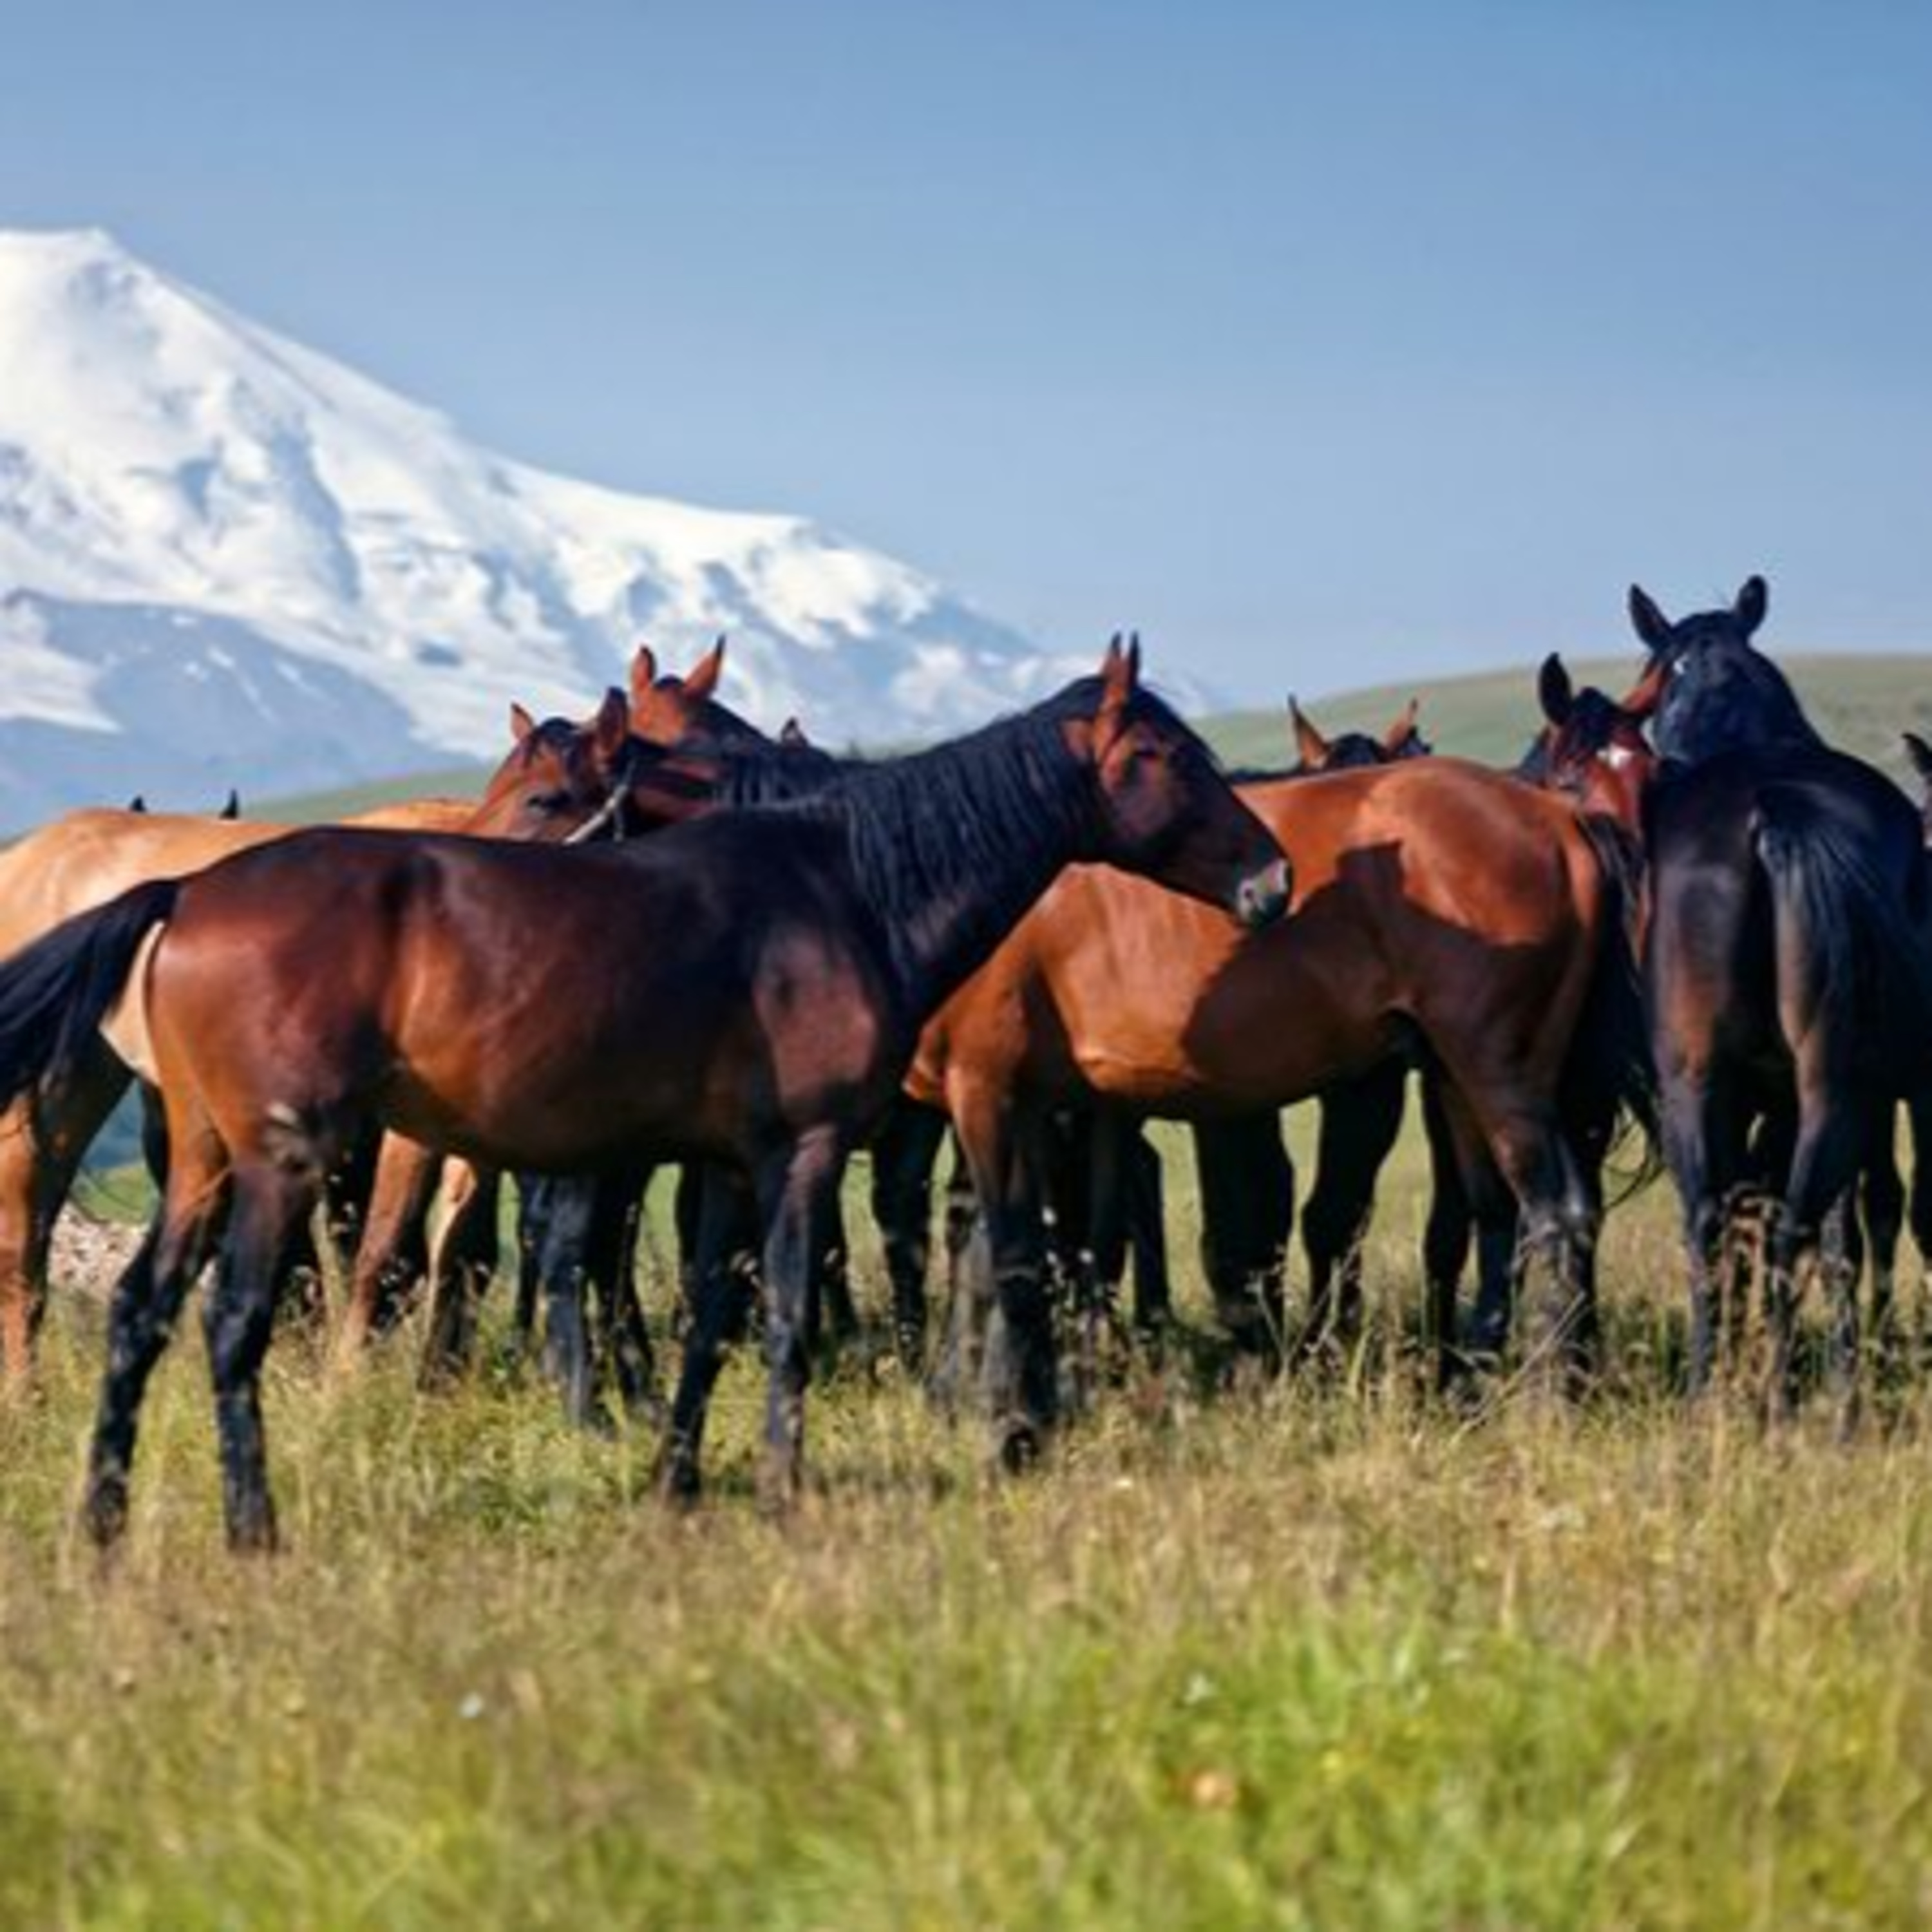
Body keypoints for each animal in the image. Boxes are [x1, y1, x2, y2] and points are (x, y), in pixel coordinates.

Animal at [0, 642, 1286, 1547]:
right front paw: (784, 1483)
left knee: (142, 1313)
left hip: (206, 1162)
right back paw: (253, 1528)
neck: (842, 884)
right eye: (1165, 758)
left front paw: (679, 1475)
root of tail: (184, 891)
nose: (1271, 879)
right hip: (280, 1165)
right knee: (232, 1322)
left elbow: (713, 1321)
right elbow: (783, 1312)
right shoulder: (806, 1151)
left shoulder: (725, 1162)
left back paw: (103, 1523)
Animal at [1632, 574, 1932, 1410]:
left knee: (1717, 1220)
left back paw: (1717, 1392)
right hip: (1834, 1084)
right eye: (1663, 679)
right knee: (1808, 1223)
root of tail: (1773, 805)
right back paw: (1808, 1399)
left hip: (1698, 1079)